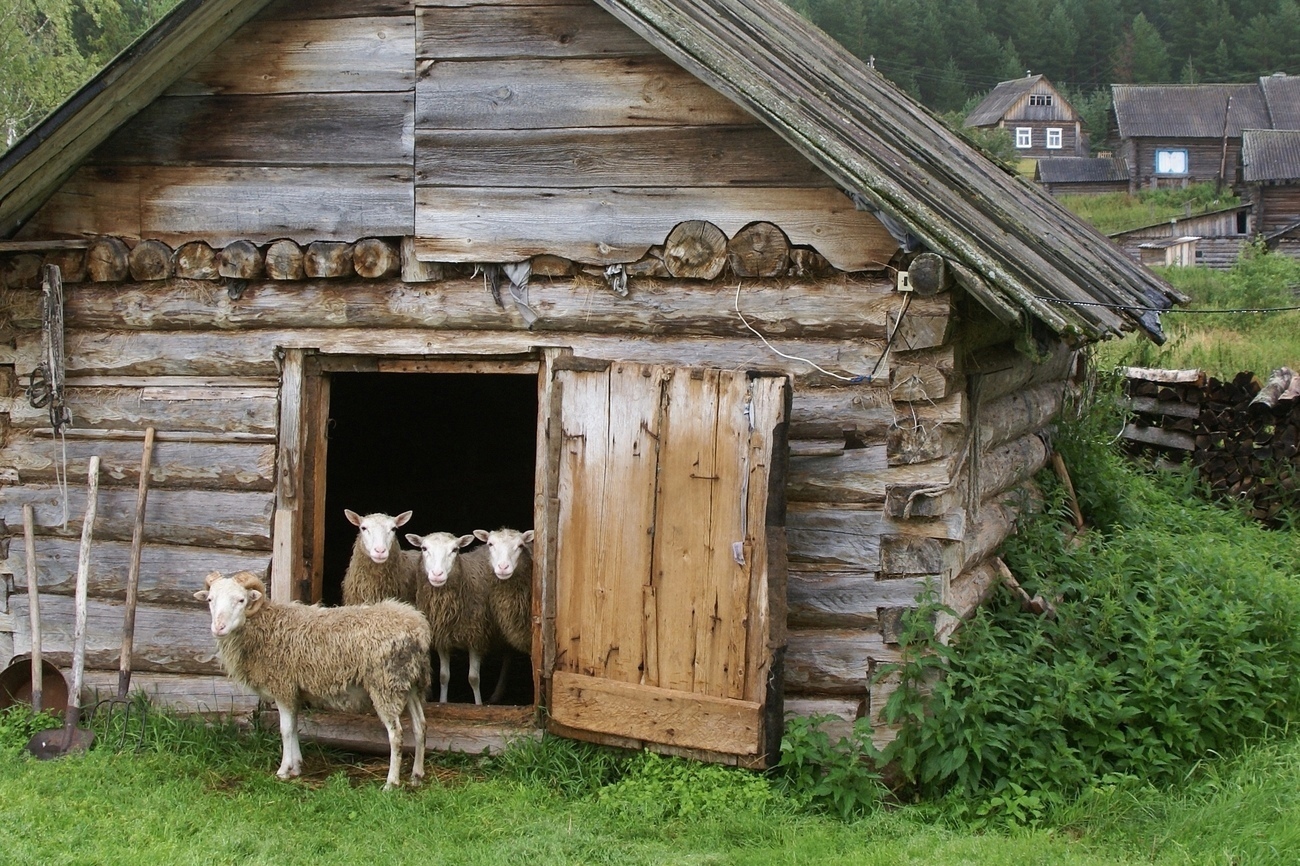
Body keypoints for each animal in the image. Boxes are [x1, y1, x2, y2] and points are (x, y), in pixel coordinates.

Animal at [195, 569, 431, 785]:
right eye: (210, 599)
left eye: (241, 599)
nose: (218, 628)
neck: (263, 625)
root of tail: (418, 627)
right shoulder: (294, 691)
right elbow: (294, 727)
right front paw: (297, 766)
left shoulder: (283, 686)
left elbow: (285, 730)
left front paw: (283, 770)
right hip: (410, 683)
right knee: (420, 726)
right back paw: (417, 775)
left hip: (385, 684)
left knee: (396, 734)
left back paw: (391, 783)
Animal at [405, 530, 501, 707]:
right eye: (424, 548)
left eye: (455, 550)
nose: (437, 575)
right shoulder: (442, 639)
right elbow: (444, 676)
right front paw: (443, 702)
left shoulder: (476, 638)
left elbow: (473, 678)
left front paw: (479, 705)